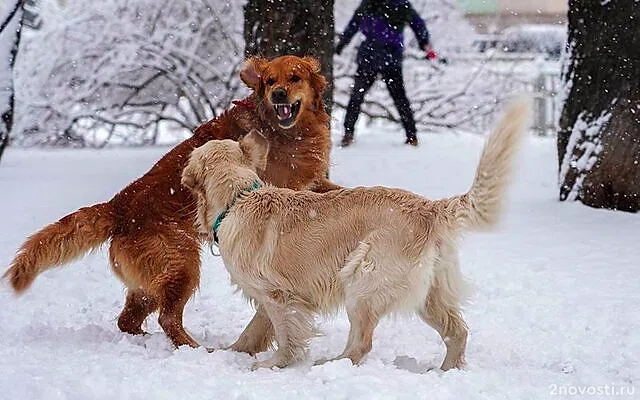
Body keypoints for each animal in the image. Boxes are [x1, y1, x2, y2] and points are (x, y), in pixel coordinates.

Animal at [2, 54, 340, 348]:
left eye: (294, 77)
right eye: (270, 81)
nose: (279, 94)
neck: (283, 129)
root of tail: (118, 207)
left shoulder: (314, 180)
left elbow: (334, 188)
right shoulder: (283, 182)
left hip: (150, 283)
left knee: (128, 320)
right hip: (181, 265)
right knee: (167, 318)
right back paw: (195, 349)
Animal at [182, 97, 532, 372]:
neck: (238, 198)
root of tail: (429, 208)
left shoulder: (278, 295)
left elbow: (285, 334)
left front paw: (274, 364)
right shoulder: (270, 297)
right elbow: (252, 331)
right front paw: (228, 352)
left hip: (362, 280)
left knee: (361, 344)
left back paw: (330, 364)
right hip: (429, 293)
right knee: (457, 332)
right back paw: (445, 371)